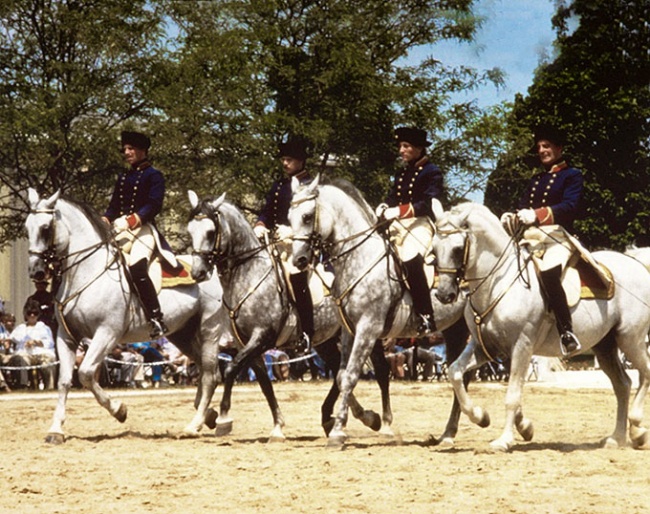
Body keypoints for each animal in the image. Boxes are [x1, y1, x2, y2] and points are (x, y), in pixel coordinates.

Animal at [24, 188, 225, 440]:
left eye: (45, 228)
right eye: (26, 227)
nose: (36, 272)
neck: (85, 273)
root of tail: (209, 269)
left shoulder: (107, 333)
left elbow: (86, 374)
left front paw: (119, 410)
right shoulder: (66, 336)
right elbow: (64, 381)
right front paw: (56, 430)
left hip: (209, 330)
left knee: (209, 372)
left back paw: (199, 420)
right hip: (181, 334)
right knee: (206, 370)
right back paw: (207, 414)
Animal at [290, 175, 470, 444]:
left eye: (307, 216)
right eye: (289, 216)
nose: (298, 260)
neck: (359, 258)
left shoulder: (368, 329)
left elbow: (351, 376)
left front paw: (339, 430)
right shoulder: (349, 330)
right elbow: (342, 377)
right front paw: (370, 419)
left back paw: (451, 433)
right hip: (453, 330)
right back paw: (448, 432)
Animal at [430, 202, 648, 450]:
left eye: (458, 249)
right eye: (434, 250)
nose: (444, 295)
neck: (497, 283)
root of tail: (637, 264)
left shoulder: (521, 346)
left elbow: (512, 395)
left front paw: (504, 440)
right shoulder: (484, 346)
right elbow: (455, 372)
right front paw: (481, 416)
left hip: (631, 339)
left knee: (645, 374)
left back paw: (638, 429)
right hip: (605, 347)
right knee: (623, 385)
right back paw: (616, 438)